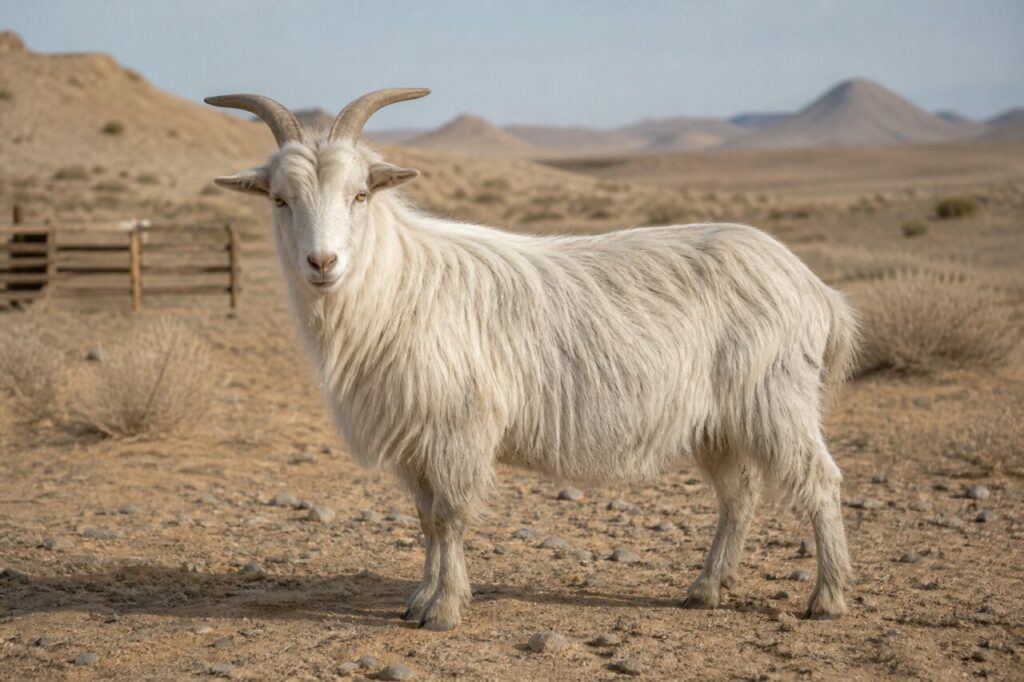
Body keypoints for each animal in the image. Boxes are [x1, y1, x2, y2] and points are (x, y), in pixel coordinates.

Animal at [207, 89, 858, 631]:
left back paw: (827, 598)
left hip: (776, 398)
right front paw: (419, 600)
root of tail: (816, 289)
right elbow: (425, 519)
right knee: (738, 495)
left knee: (820, 481)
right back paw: (706, 588)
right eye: (281, 199)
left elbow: (449, 517)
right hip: (718, 421)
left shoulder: (459, 428)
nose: (322, 263)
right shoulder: (416, 441)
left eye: (360, 194)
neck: (398, 285)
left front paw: (443, 611)